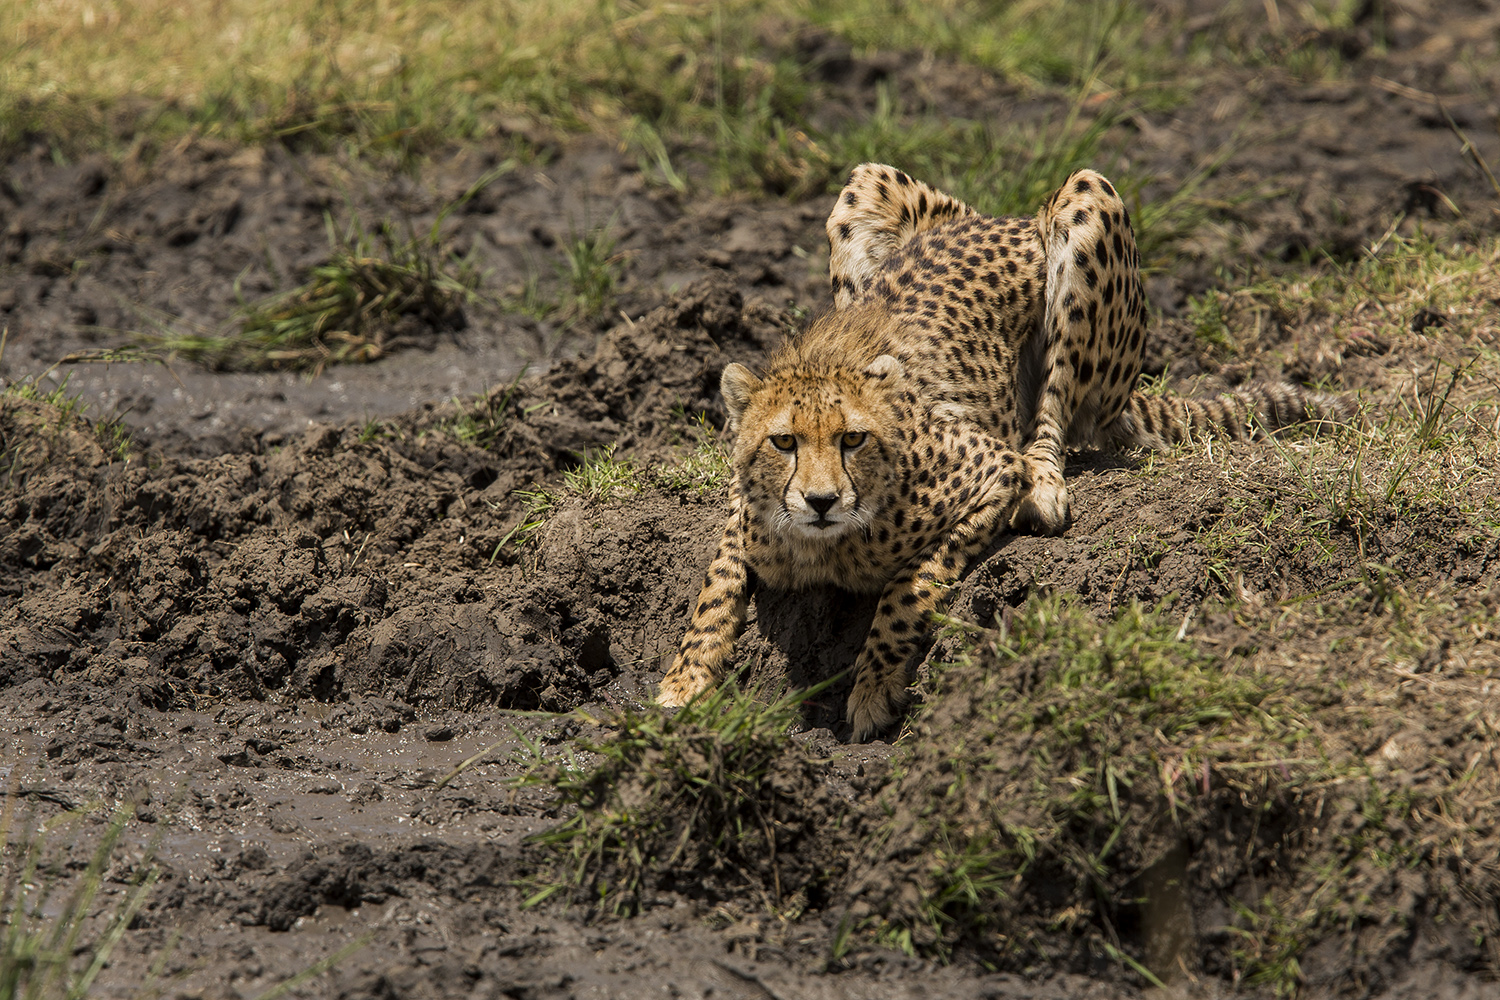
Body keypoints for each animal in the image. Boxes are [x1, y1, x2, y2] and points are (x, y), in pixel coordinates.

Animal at [657, 166, 1350, 743]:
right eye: (784, 441)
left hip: (1086, 206)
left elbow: (908, 587)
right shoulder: (744, 515)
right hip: (865, 185)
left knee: (1053, 417)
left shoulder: (987, 472)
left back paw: (1045, 485)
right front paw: (683, 681)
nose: (822, 500)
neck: (825, 545)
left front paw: (874, 686)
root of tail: (1007, 217)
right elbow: (715, 587)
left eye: (853, 438)